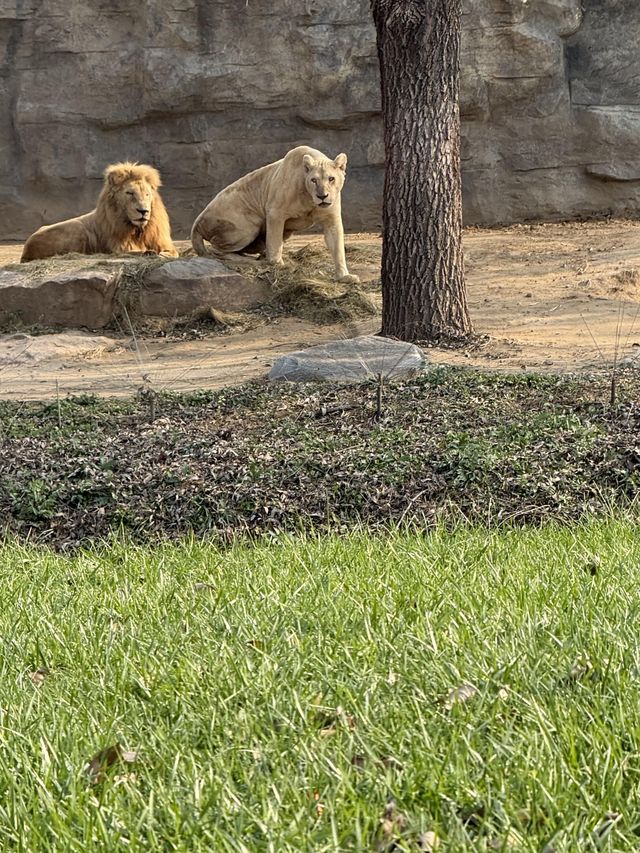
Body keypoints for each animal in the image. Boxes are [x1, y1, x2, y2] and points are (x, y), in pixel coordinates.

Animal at [21, 163, 178, 262]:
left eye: (147, 194)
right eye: (129, 193)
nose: (143, 211)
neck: (137, 230)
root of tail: (26, 247)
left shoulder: (162, 243)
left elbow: (172, 252)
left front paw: (161, 255)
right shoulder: (116, 248)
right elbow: (131, 252)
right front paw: (149, 253)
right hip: (77, 228)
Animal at [190, 143, 360, 282]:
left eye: (331, 178)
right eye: (314, 180)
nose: (322, 196)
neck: (309, 198)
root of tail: (197, 221)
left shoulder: (331, 219)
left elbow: (337, 247)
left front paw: (345, 276)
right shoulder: (275, 212)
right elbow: (275, 241)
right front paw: (278, 264)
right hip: (246, 227)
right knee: (215, 250)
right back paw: (252, 261)